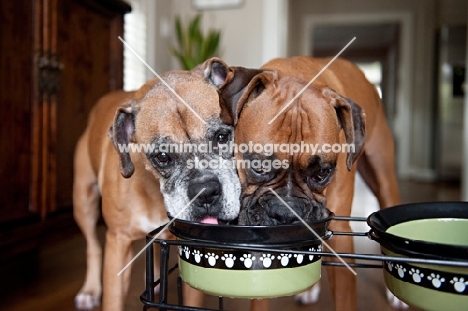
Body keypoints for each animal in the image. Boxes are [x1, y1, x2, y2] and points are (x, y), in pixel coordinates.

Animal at [74, 58, 264, 310]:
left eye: (222, 137)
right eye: (163, 157)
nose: (205, 191)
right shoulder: (118, 243)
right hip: (83, 202)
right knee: (93, 246)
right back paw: (90, 290)